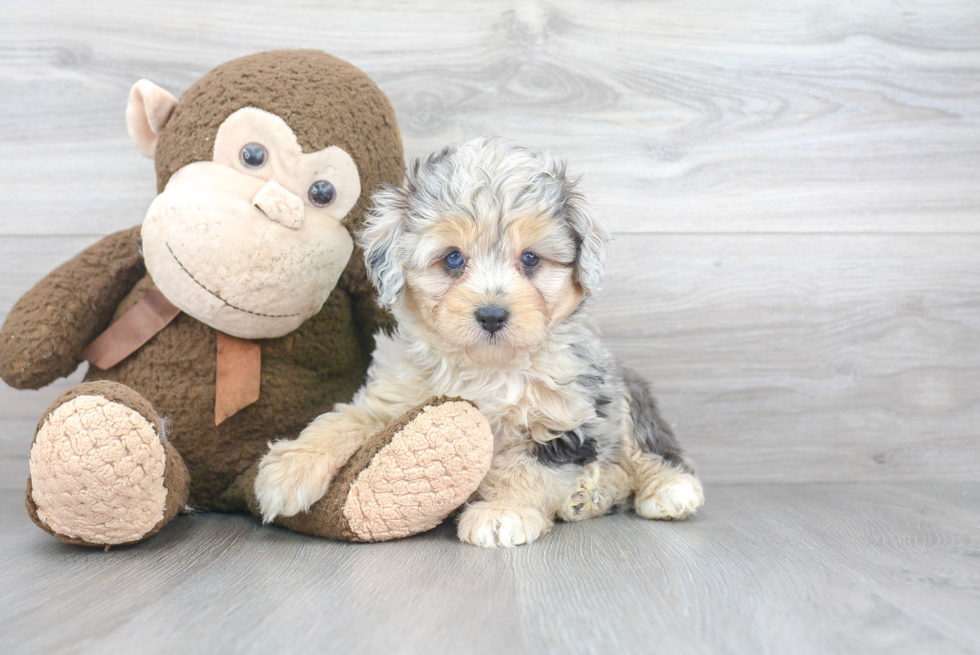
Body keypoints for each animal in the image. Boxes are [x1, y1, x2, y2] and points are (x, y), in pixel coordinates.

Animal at [256, 137, 704, 548]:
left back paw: (662, 489)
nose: (492, 315)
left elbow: (529, 467)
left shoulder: (568, 416)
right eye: (453, 258)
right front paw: (290, 468)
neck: (486, 367)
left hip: (625, 397)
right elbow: (343, 419)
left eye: (530, 259)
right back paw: (587, 496)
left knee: (648, 451)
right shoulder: (395, 399)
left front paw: (503, 511)